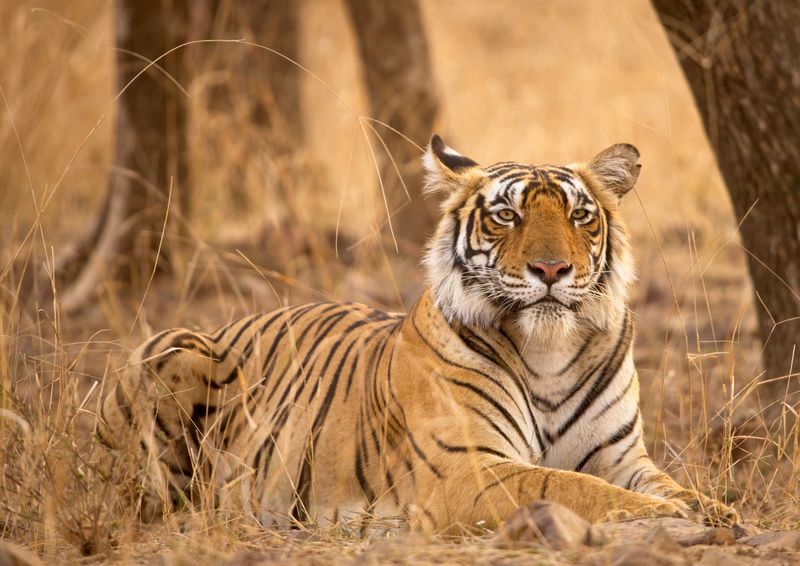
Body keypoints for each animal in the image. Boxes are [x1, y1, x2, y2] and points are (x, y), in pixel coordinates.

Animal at [98, 135, 736, 536]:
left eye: (580, 216)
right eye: (507, 216)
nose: (552, 270)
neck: (547, 351)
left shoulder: (620, 455)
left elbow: (668, 486)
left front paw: (714, 512)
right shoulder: (466, 470)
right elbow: (572, 489)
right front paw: (675, 520)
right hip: (171, 347)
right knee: (151, 504)